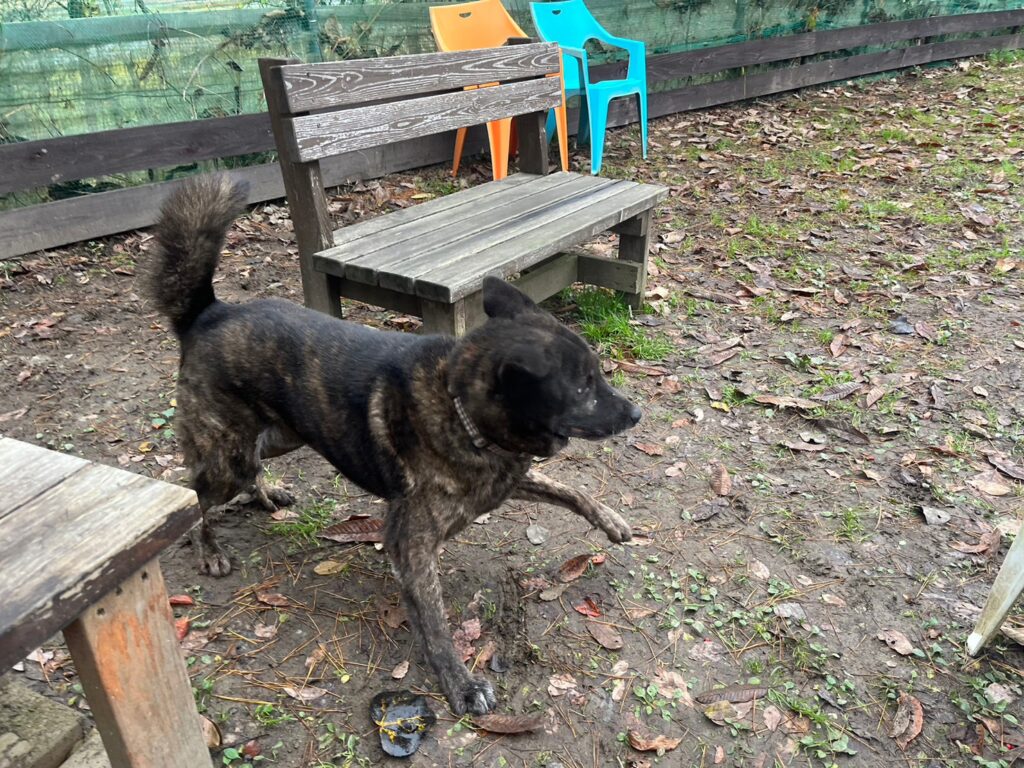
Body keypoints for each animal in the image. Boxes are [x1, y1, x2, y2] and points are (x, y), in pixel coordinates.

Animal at [146, 176, 642, 715]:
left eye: (597, 375)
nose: (636, 413)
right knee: (194, 488)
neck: (461, 410)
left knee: (245, 464)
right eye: (584, 387)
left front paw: (611, 520)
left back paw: (267, 494)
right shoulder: (413, 546)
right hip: (227, 459)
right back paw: (208, 547)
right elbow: (436, 623)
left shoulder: (509, 477)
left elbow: (572, 490)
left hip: (282, 435)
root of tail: (210, 312)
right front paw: (460, 683)